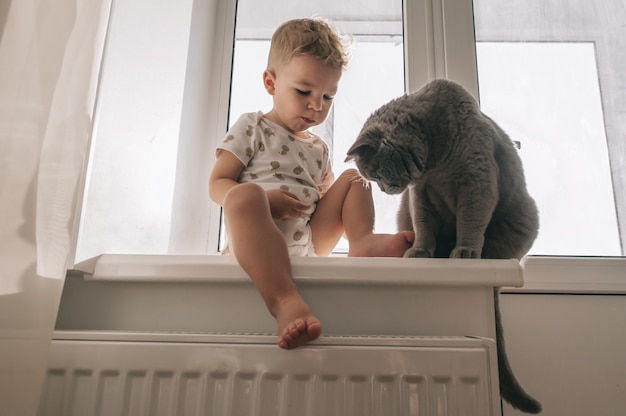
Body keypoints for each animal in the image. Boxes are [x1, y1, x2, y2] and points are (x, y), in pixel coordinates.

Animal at [346, 78, 540, 412]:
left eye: (376, 173)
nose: (384, 190)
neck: (436, 163)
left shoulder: (477, 179)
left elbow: (471, 220)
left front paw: (465, 252)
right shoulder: (420, 195)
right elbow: (425, 226)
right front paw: (420, 252)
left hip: (524, 213)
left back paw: (478, 257)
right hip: (404, 214)